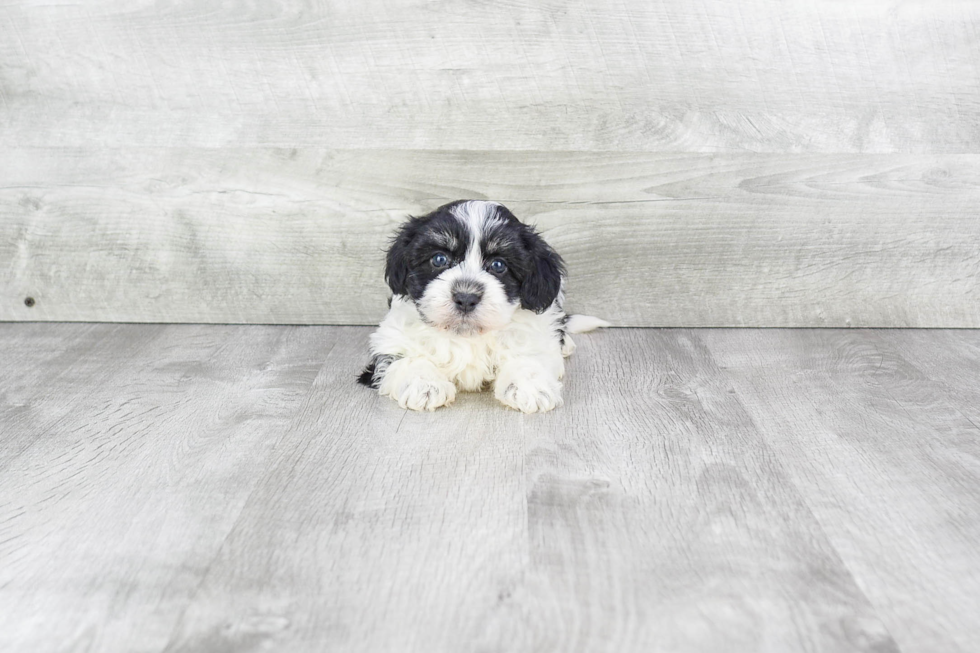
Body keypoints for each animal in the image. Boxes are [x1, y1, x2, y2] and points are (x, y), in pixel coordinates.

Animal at [360, 200, 604, 412]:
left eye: (498, 265)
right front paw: (424, 384)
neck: (469, 335)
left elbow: (529, 354)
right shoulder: (391, 337)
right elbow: (405, 356)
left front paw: (530, 386)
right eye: (439, 259)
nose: (466, 297)